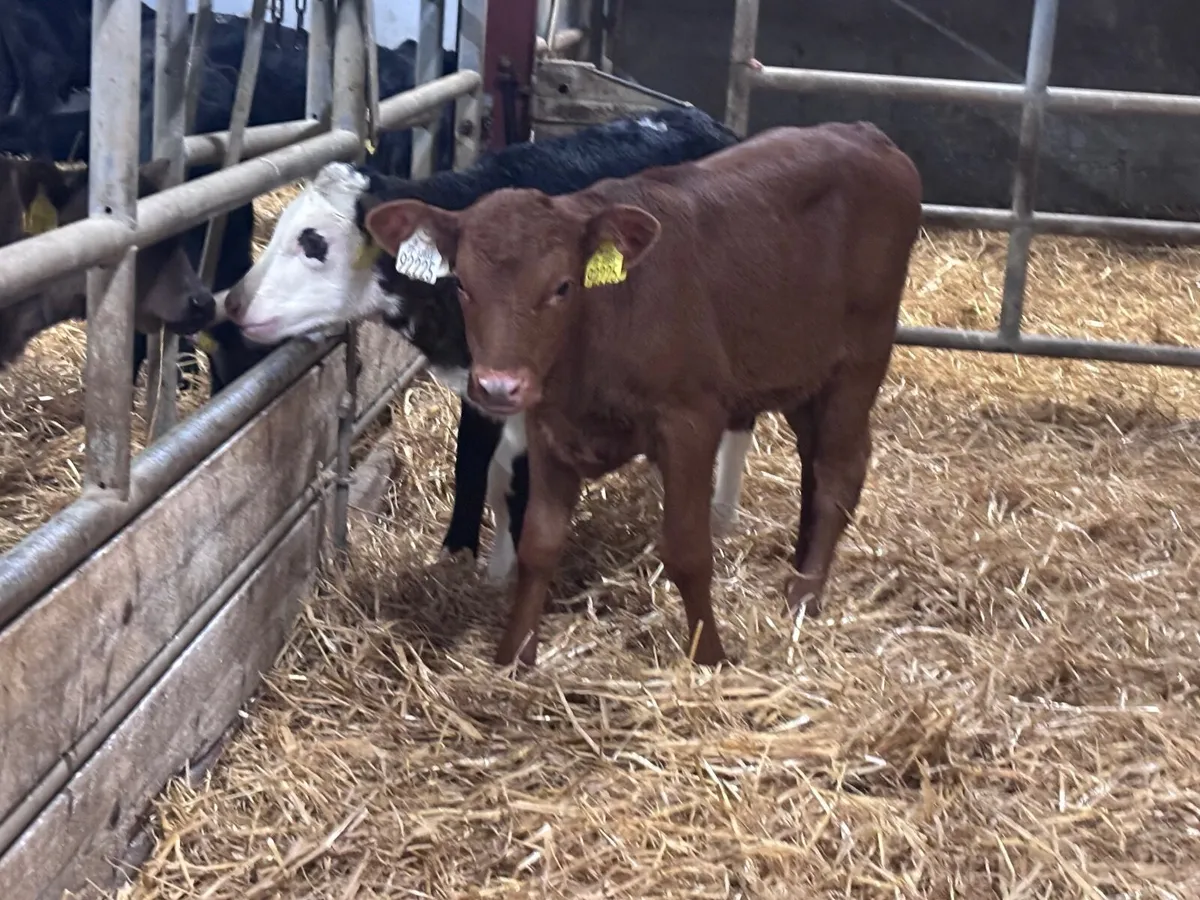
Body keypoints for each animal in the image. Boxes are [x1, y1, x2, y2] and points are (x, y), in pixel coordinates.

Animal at [220, 106, 755, 585]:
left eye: (314, 242)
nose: (234, 302)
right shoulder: (481, 386)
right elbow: (479, 466)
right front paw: (475, 562)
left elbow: (522, 481)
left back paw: (722, 517)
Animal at [360, 121, 924, 667]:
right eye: (461, 284)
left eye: (563, 286)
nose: (499, 385)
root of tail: (865, 133)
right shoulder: (548, 429)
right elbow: (539, 545)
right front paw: (514, 657)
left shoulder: (691, 420)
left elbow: (689, 549)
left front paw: (710, 658)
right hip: (801, 373)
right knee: (817, 461)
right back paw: (799, 565)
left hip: (861, 358)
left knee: (838, 471)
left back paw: (804, 594)